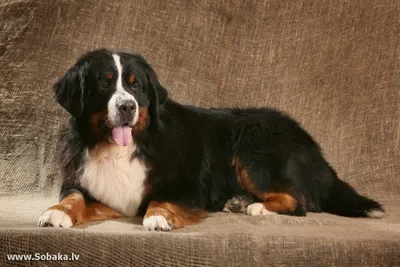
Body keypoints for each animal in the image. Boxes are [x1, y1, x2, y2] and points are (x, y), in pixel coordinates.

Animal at [38, 49, 384, 231]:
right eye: (104, 84)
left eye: (136, 86)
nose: (127, 107)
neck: (126, 148)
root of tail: (310, 142)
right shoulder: (93, 184)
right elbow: (74, 197)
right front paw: (57, 211)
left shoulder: (188, 185)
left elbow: (162, 199)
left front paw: (159, 217)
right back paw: (239, 202)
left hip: (253, 147)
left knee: (298, 201)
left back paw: (256, 208)